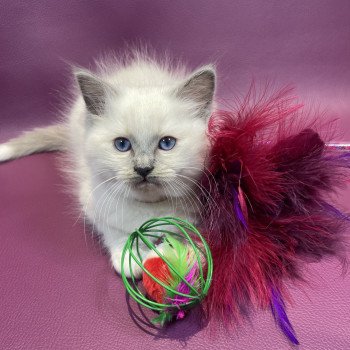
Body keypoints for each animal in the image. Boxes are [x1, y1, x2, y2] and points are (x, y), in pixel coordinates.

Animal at [0, 52, 215, 276]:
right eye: (122, 144)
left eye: (167, 143)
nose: (143, 169)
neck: (148, 207)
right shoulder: (94, 203)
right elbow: (115, 233)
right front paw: (129, 258)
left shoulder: (197, 215)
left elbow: (188, 236)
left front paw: (173, 256)